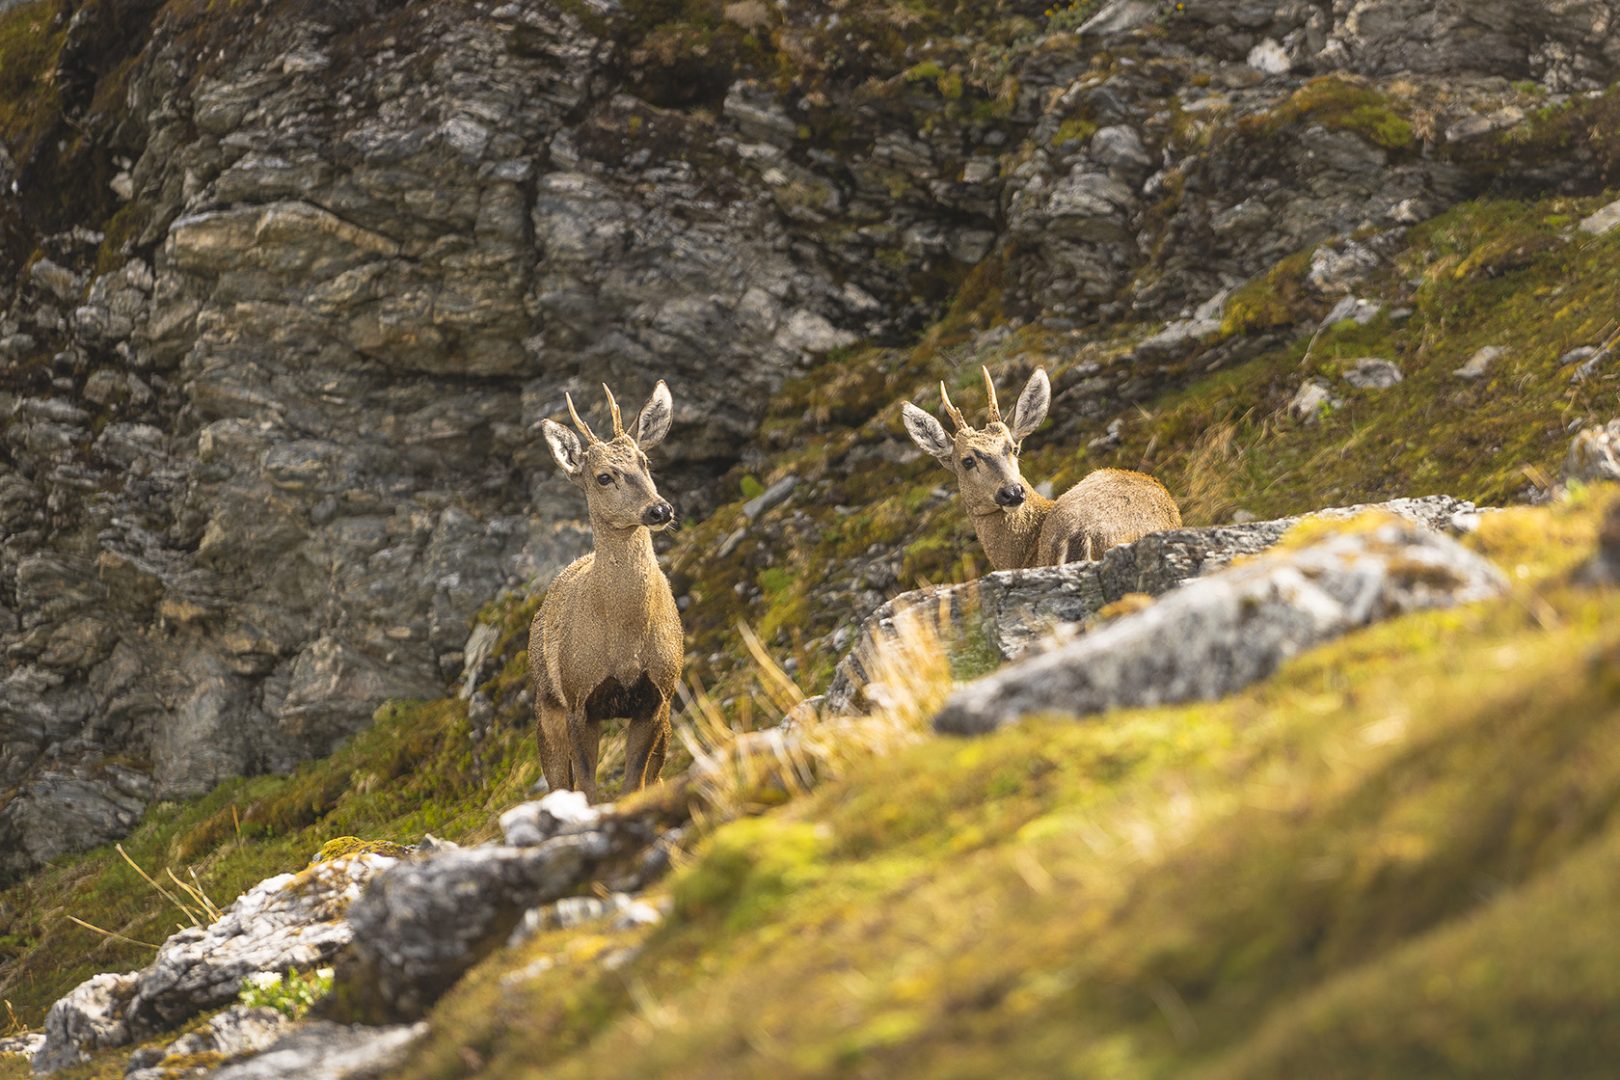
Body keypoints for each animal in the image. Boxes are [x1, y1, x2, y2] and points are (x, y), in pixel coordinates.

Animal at [528, 381, 682, 803]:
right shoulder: (579, 698)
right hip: (546, 704)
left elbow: (634, 784)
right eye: (603, 477)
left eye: (645, 461)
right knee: (558, 782)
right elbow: (586, 786)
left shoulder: (657, 697)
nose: (660, 510)